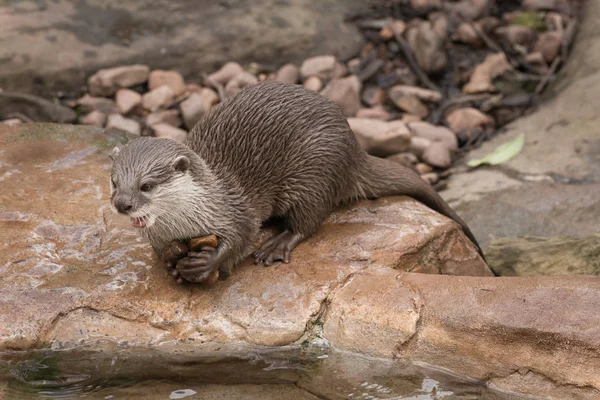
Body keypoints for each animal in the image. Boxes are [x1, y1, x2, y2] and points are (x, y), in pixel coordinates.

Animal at [109, 81, 482, 282]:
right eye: (114, 182)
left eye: (146, 185)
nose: (122, 204)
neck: (187, 219)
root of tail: (354, 149)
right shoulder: (160, 235)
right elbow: (161, 251)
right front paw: (172, 264)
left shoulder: (234, 211)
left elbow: (242, 235)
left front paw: (208, 262)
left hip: (313, 172)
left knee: (309, 220)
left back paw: (277, 245)